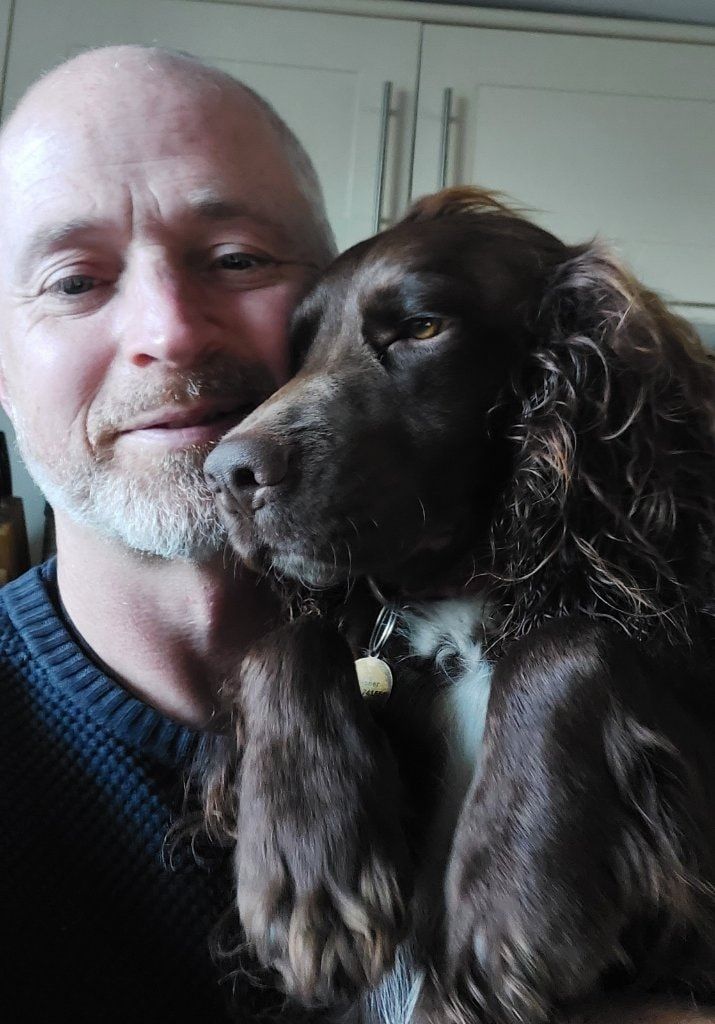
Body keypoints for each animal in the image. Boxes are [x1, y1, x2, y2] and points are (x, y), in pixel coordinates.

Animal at [201, 187, 715, 1024]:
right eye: (297, 353)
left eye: (421, 328)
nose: (227, 474)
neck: (461, 604)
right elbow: (289, 638)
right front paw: (309, 875)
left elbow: (570, 637)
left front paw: (516, 892)